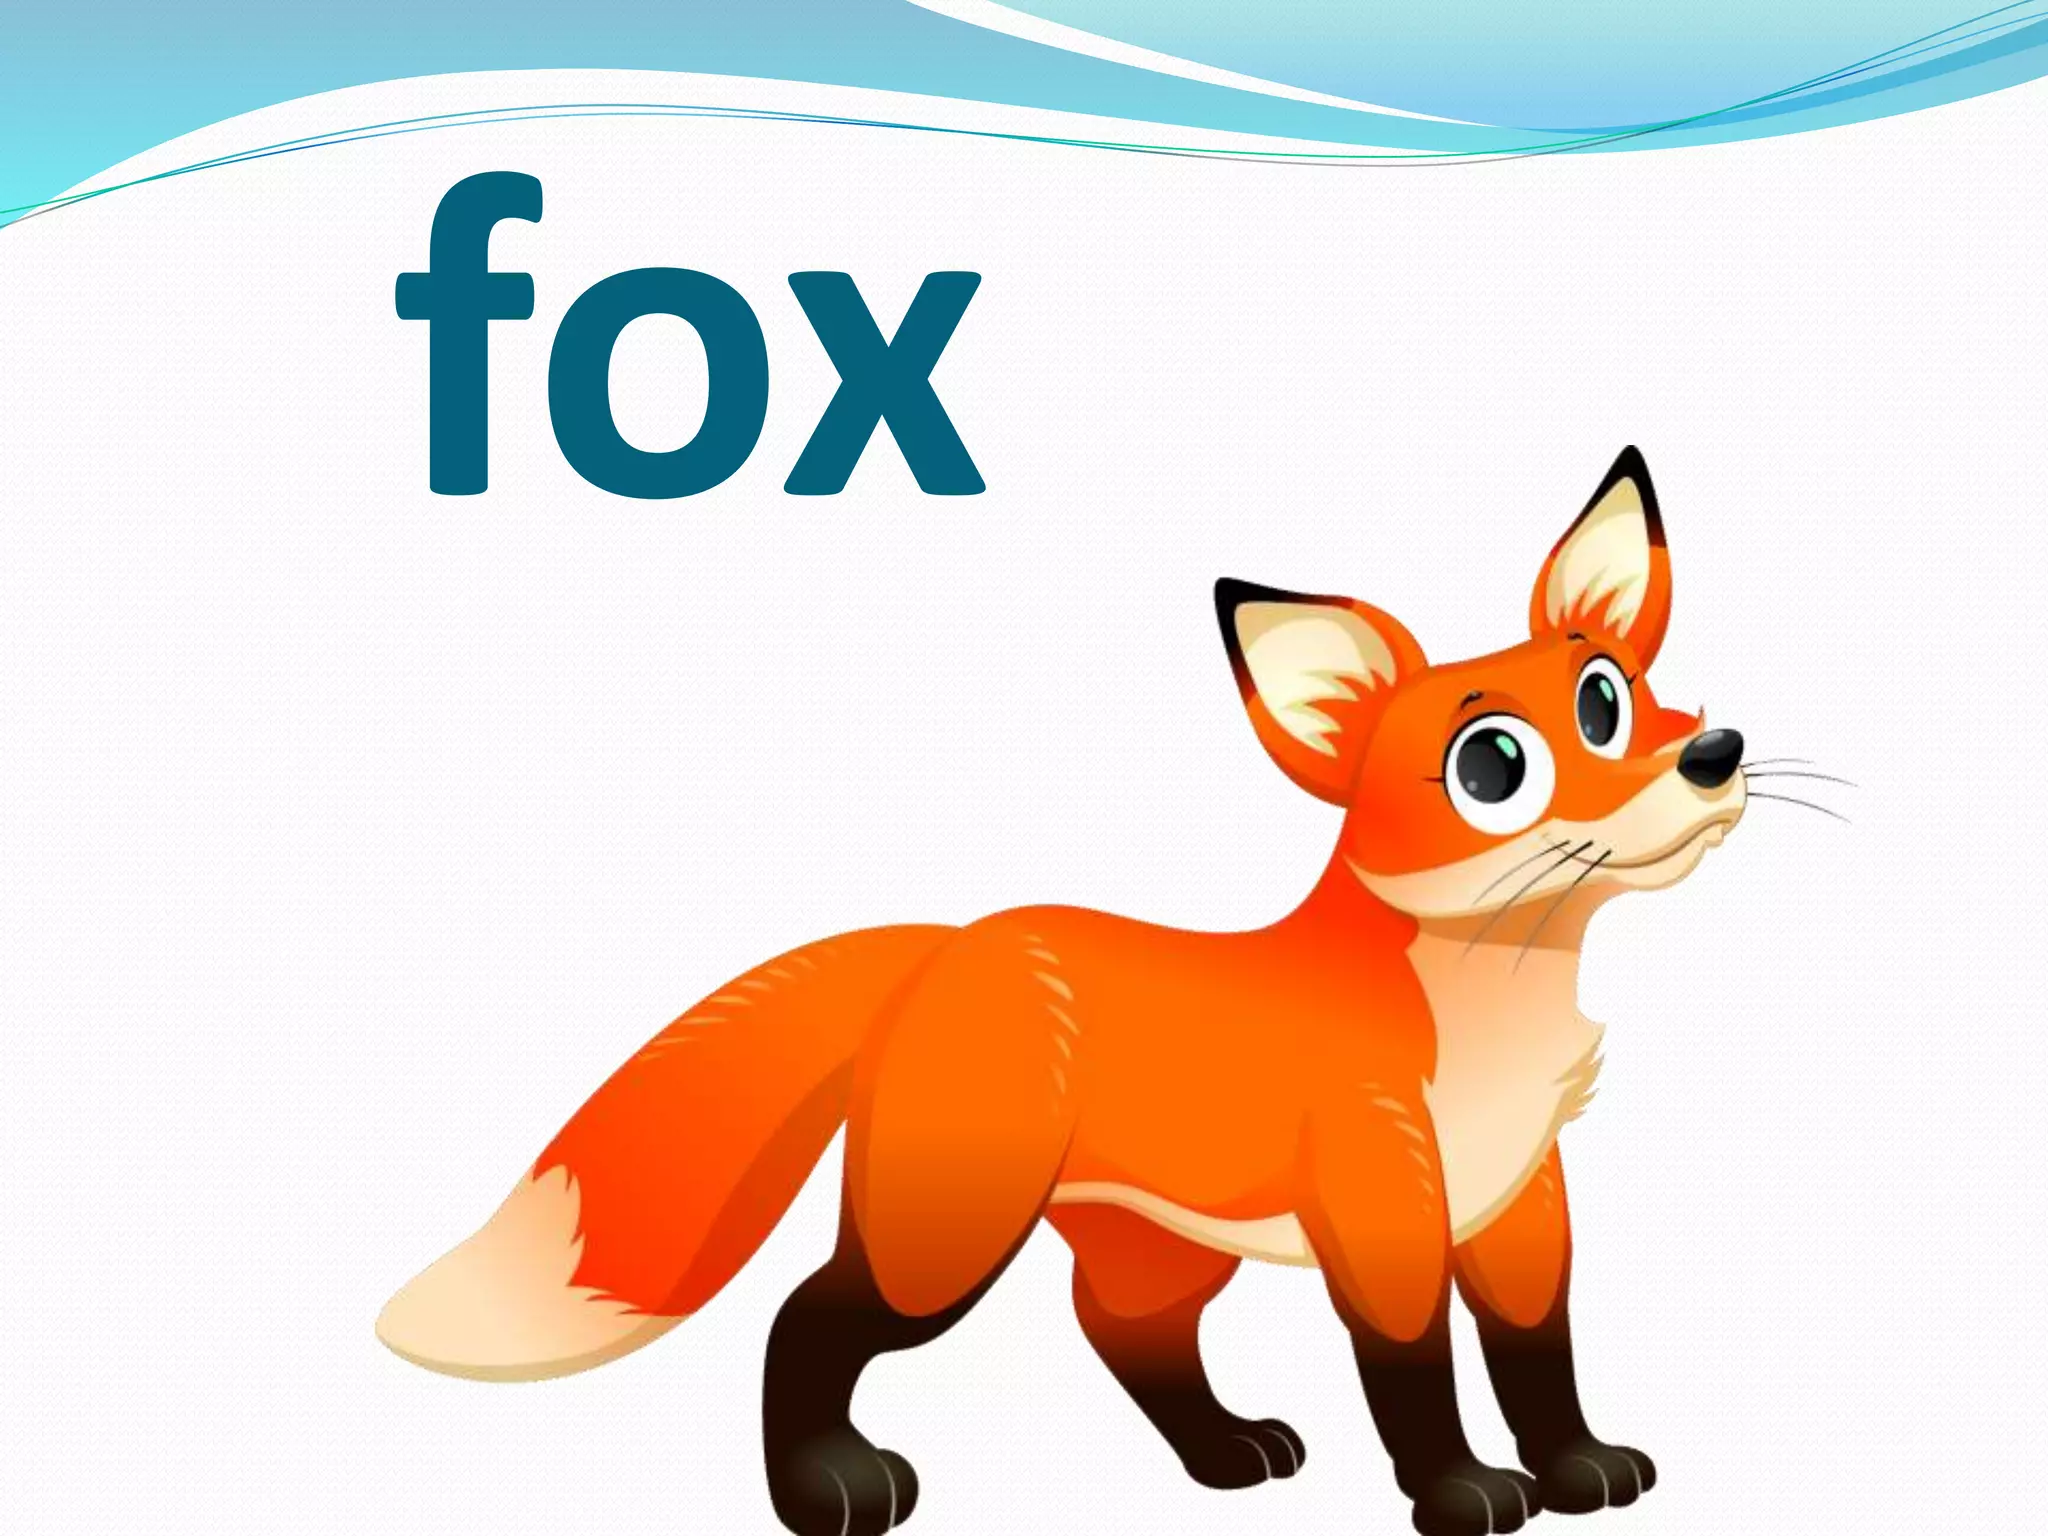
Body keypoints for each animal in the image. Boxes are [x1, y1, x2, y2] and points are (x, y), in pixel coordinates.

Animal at [379, 446, 1754, 1536]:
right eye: (1492, 765)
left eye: (1609, 695)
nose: (1711, 753)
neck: (1480, 1028)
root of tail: (954, 939)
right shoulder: (1384, 1201)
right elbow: (1410, 1370)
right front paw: (1462, 1495)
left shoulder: (1515, 1194)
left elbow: (1536, 1351)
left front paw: (1577, 1468)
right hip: (941, 1236)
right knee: (804, 1319)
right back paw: (827, 1485)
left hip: (1156, 1244)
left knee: (1122, 1331)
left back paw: (1225, 1454)